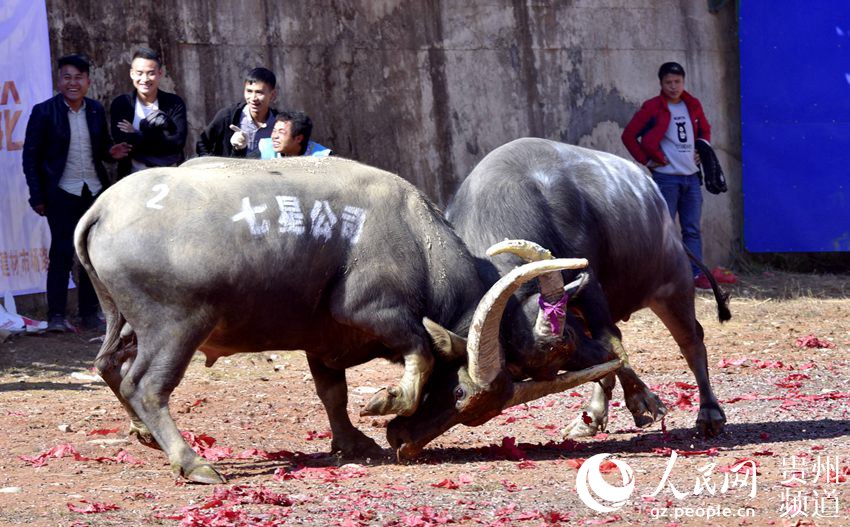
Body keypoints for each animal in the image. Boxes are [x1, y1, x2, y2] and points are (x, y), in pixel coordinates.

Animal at [73, 156, 616, 482]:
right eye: (461, 393)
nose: (405, 442)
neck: (417, 243)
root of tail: (102, 208)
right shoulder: (371, 311)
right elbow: (420, 351)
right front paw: (384, 401)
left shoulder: (322, 342)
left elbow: (332, 392)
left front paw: (354, 441)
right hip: (176, 327)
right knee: (145, 385)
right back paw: (193, 463)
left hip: (125, 323)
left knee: (109, 367)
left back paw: (144, 435)